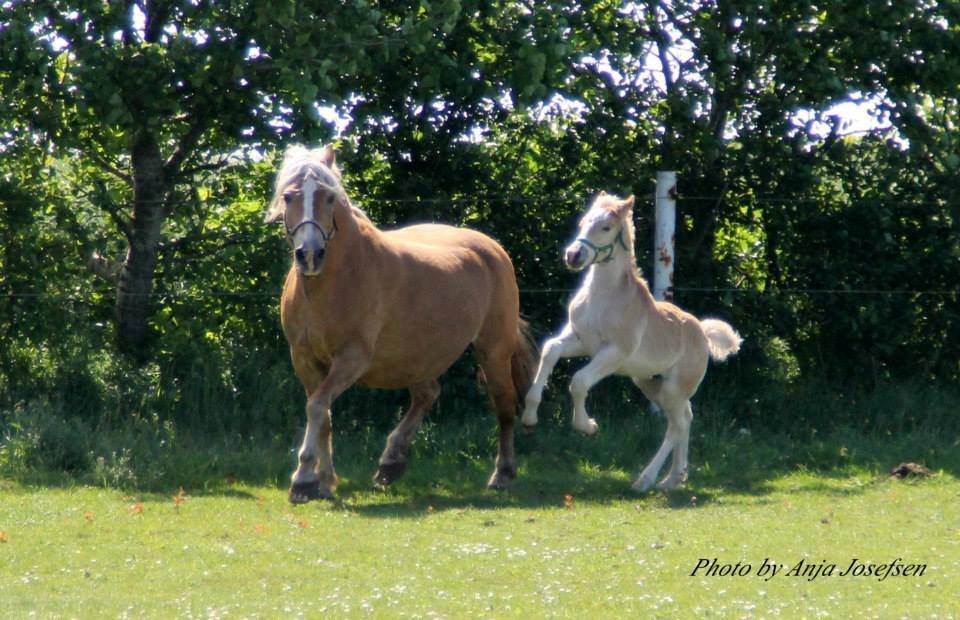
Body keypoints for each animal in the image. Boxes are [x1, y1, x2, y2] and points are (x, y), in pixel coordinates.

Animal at [264, 145, 532, 504]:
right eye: (289, 196)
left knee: (503, 405)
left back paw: (502, 474)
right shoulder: (304, 358)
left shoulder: (352, 358)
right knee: (428, 393)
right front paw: (324, 481)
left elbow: (317, 406)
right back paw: (391, 462)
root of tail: (493, 249)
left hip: (493, 349)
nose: (310, 254)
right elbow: (323, 415)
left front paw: (304, 479)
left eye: (329, 197)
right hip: (414, 357)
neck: (333, 281)